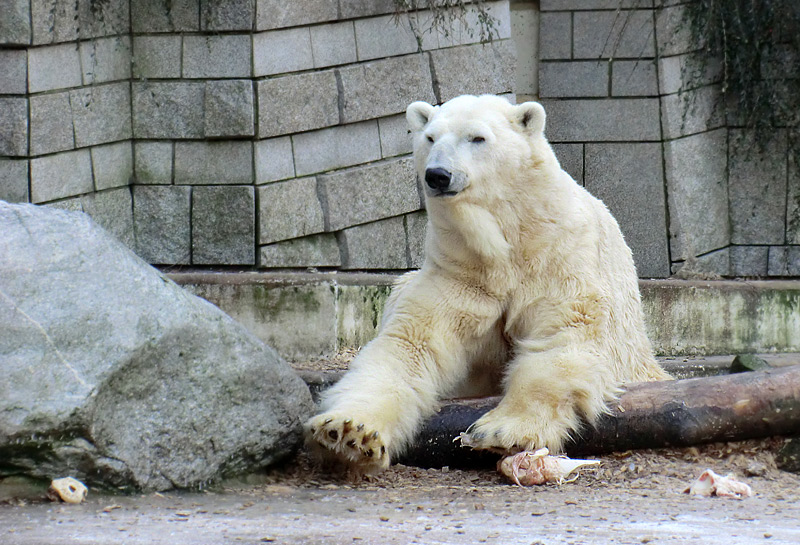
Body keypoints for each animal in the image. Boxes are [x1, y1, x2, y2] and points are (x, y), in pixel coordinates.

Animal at [306, 94, 668, 472]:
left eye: (477, 138)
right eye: (430, 138)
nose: (438, 175)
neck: (512, 239)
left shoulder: (560, 258)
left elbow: (565, 337)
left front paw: (502, 431)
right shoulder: (462, 270)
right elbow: (409, 346)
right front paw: (348, 433)